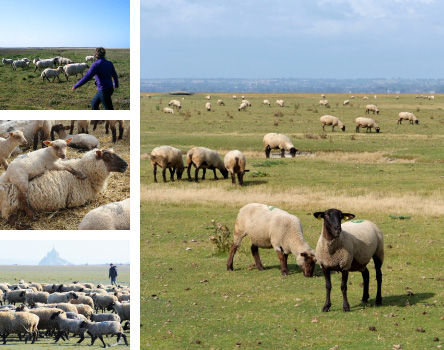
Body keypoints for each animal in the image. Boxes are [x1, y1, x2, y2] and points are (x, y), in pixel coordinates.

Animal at [0, 148, 128, 227]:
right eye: (108, 156)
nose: (126, 165)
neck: (84, 168)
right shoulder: (77, 199)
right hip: (11, 205)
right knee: (11, 221)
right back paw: (27, 224)